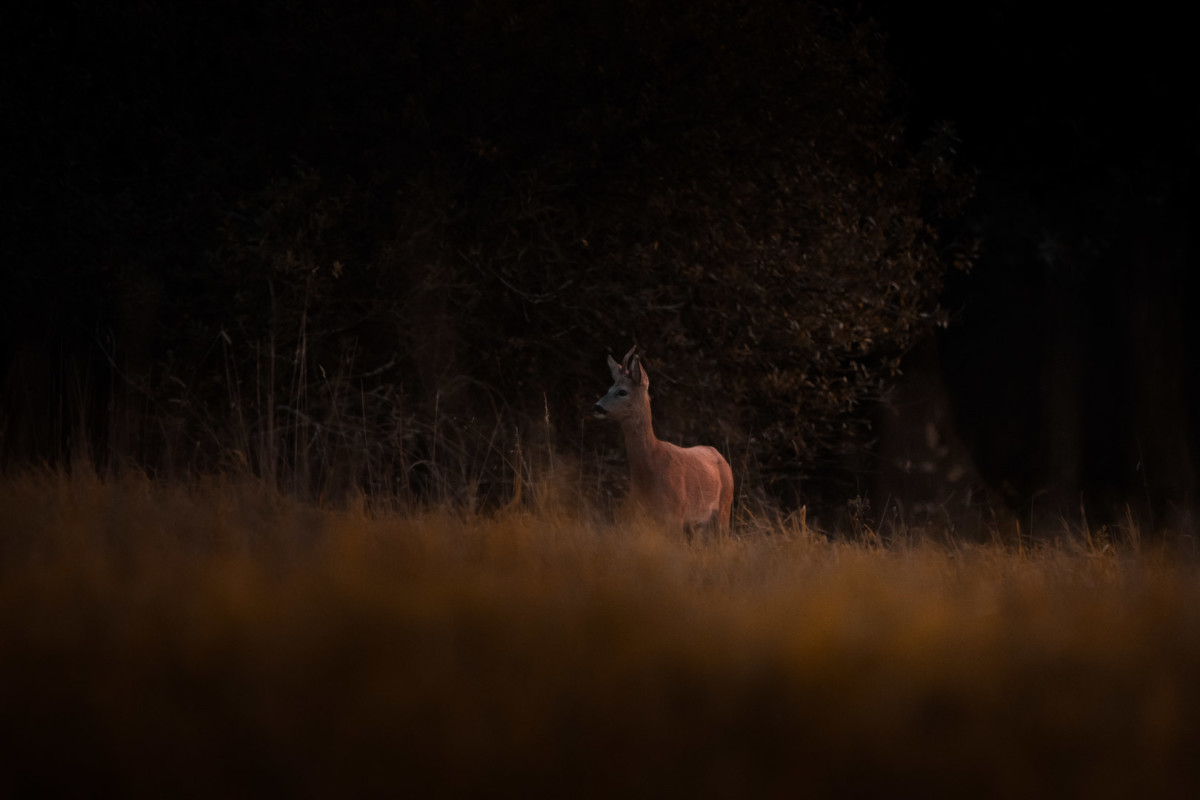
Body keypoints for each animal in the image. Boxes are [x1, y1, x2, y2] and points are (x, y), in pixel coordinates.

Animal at [593, 347, 734, 536]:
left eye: (622, 391)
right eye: (609, 388)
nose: (597, 407)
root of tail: (722, 458)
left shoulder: (674, 513)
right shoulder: (640, 512)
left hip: (724, 507)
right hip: (698, 523)